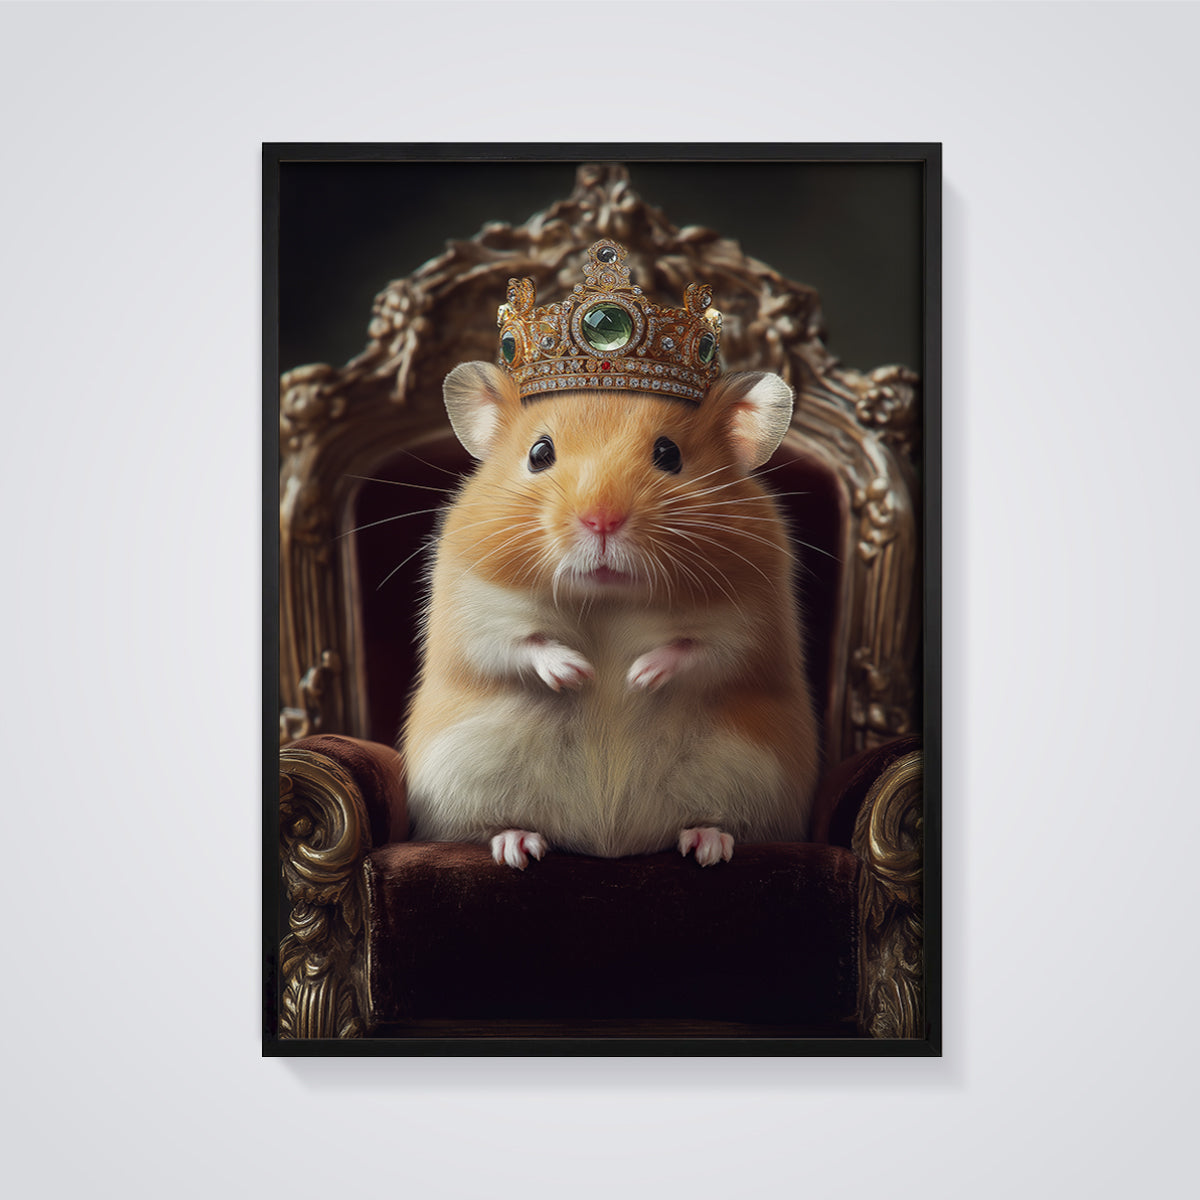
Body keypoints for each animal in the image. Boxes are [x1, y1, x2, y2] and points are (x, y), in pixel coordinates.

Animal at [401, 361, 819, 868]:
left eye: (669, 454)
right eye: (539, 454)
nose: (601, 521)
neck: (607, 597)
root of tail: (610, 843)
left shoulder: (750, 625)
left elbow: (698, 648)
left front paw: (636, 677)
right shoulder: (474, 614)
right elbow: (521, 643)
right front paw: (579, 674)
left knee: (721, 823)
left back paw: (708, 845)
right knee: (486, 828)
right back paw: (518, 846)